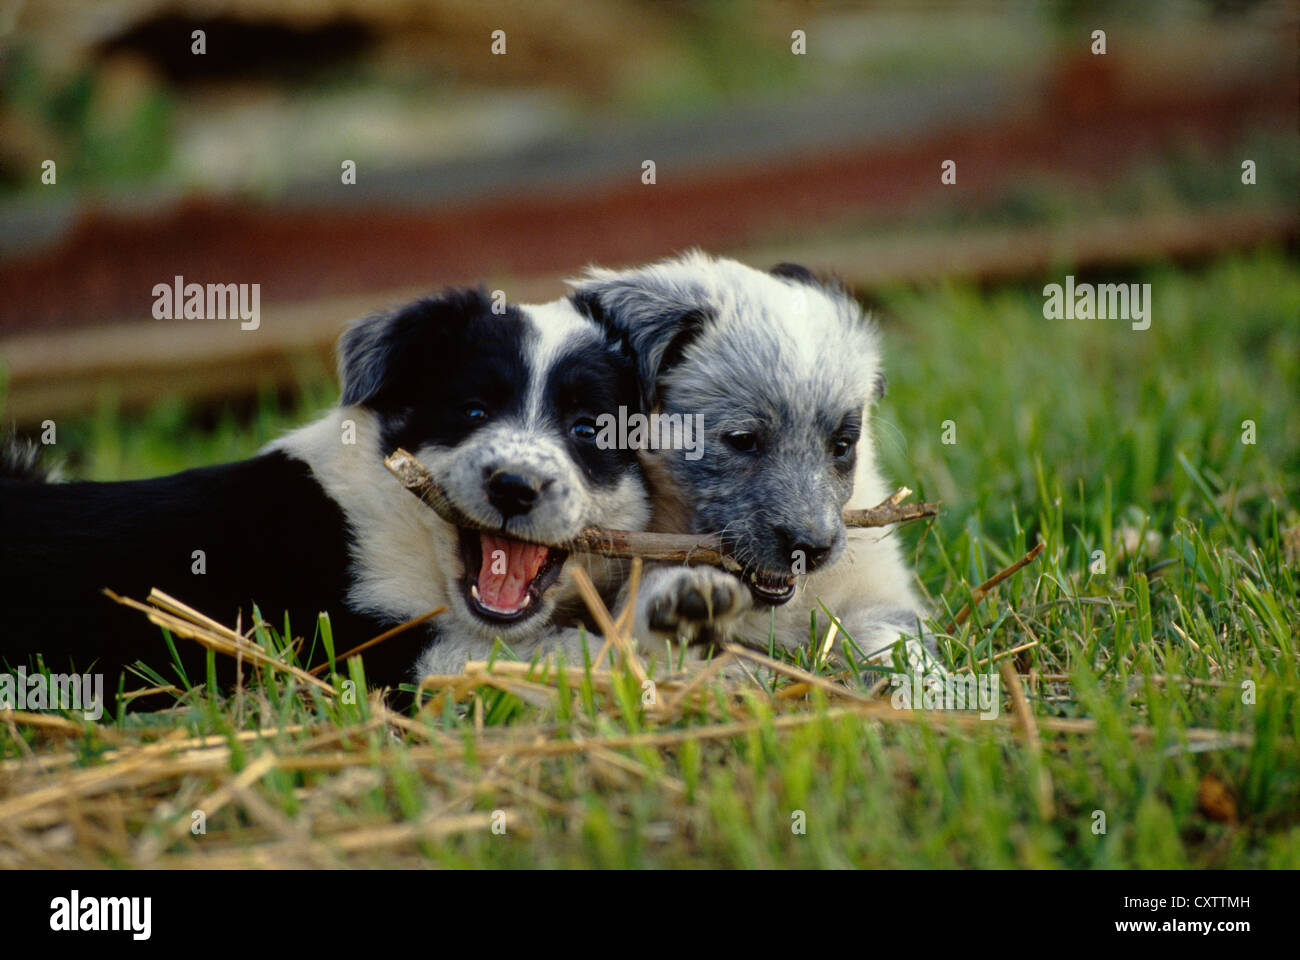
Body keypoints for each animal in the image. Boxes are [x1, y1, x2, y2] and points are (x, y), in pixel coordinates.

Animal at [569, 254, 935, 671]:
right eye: (743, 440)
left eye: (841, 445)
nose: (811, 550)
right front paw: (685, 601)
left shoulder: (880, 593)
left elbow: (896, 640)